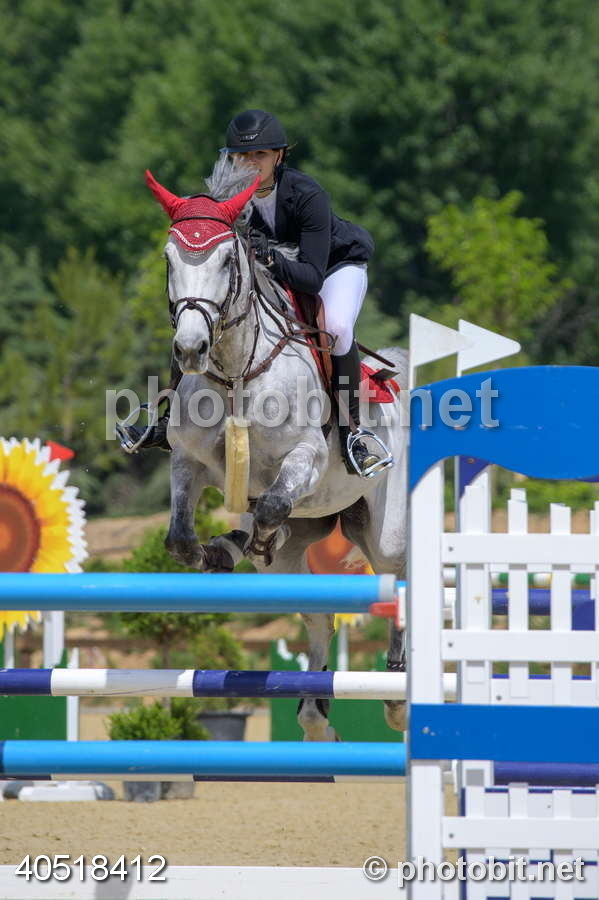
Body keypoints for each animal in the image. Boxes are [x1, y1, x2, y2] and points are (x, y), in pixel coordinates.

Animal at [144, 158, 408, 739]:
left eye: (226, 260)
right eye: (169, 260)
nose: (190, 349)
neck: (234, 369)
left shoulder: (304, 458)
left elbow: (270, 505)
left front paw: (248, 539)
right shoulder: (189, 462)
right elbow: (180, 537)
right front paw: (214, 552)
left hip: (382, 529)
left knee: (397, 579)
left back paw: (397, 694)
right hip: (310, 535)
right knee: (316, 611)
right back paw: (316, 717)